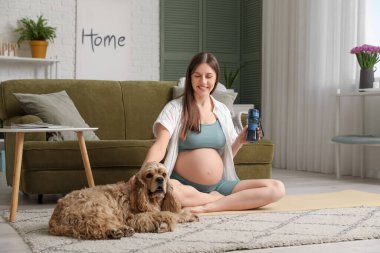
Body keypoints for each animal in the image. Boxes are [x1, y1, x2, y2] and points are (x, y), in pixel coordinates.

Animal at [48, 162, 199, 239]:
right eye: (149, 175)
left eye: (164, 174)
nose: (160, 180)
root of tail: (55, 216)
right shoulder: (133, 218)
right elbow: (166, 215)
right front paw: (163, 223)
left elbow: (174, 213)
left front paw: (188, 215)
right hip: (97, 208)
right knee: (94, 227)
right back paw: (118, 230)